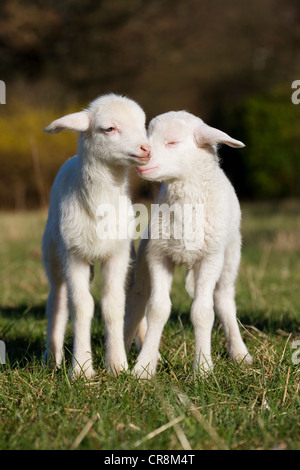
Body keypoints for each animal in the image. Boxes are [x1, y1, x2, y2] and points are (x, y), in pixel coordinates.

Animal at [42, 92, 150, 378]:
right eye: (109, 128)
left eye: (143, 124)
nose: (146, 149)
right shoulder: (74, 255)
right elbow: (81, 307)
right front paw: (81, 369)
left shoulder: (118, 254)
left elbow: (113, 306)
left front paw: (117, 365)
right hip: (53, 253)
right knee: (57, 301)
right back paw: (52, 357)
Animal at [124, 110, 253, 378]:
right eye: (147, 135)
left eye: (172, 142)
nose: (143, 158)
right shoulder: (158, 256)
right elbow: (157, 310)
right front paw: (144, 367)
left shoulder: (210, 259)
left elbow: (202, 312)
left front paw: (202, 368)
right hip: (145, 255)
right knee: (138, 298)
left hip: (229, 257)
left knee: (224, 299)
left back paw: (239, 353)